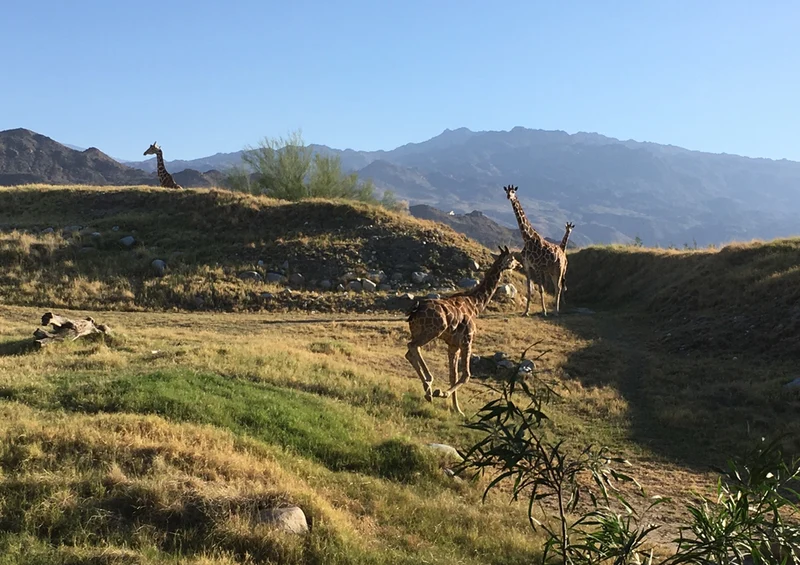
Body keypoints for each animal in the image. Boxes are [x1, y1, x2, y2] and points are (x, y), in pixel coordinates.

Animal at [405, 246, 519, 416]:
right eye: (512, 258)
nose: (518, 264)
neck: (476, 305)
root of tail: (415, 310)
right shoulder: (467, 340)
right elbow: (466, 375)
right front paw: (442, 393)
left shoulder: (454, 345)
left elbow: (453, 375)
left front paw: (457, 409)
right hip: (434, 329)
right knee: (413, 346)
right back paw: (429, 382)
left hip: (418, 331)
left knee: (409, 352)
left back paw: (428, 390)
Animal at [504, 185, 567, 317]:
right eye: (507, 191)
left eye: (513, 191)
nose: (509, 197)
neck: (527, 239)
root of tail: (563, 253)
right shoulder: (527, 266)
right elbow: (529, 289)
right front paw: (526, 311)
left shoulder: (537, 267)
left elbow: (541, 289)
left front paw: (544, 311)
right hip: (551, 271)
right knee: (556, 287)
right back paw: (556, 309)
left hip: (560, 269)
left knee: (559, 288)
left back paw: (556, 311)